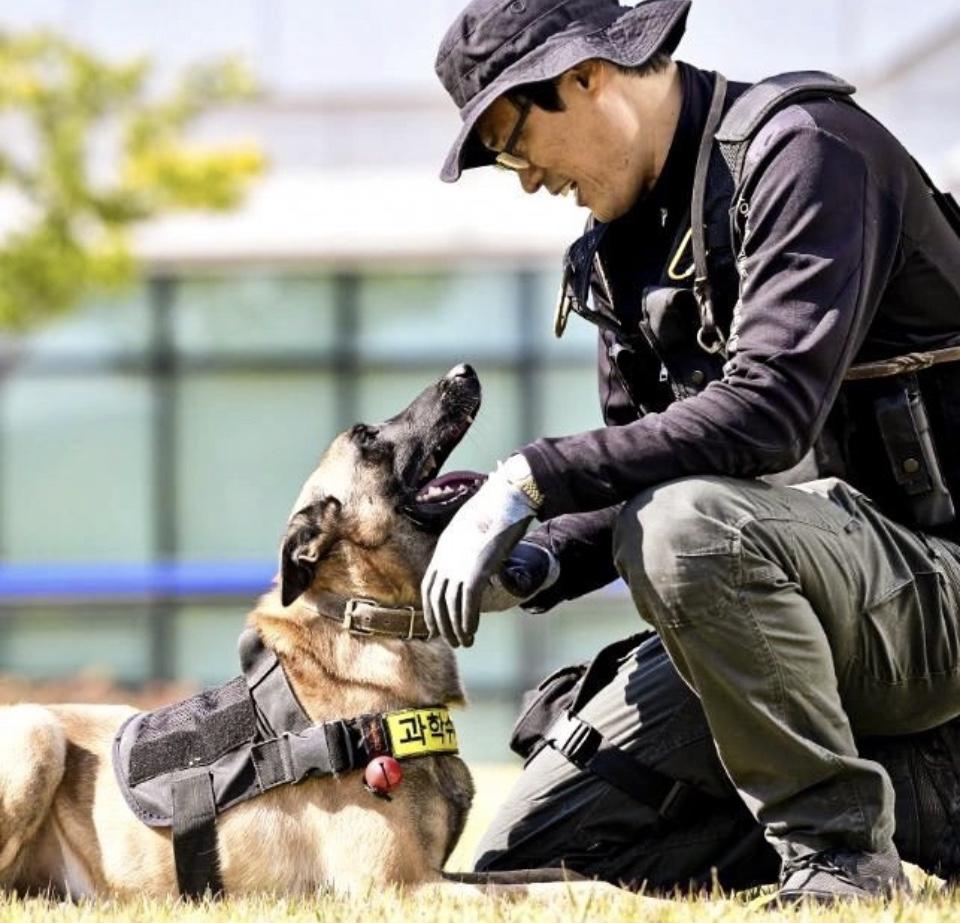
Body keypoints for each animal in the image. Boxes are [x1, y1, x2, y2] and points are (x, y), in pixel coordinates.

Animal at [0, 362, 632, 904]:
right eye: (368, 438)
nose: (464, 371)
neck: (370, 621)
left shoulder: (441, 872)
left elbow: (565, 874)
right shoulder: (401, 883)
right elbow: (551, 890)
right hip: (35, 733)